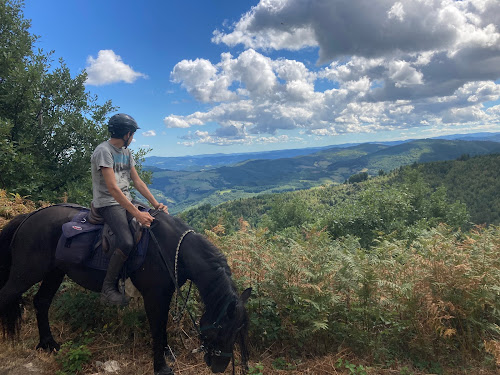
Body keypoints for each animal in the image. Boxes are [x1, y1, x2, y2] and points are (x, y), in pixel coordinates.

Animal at [0, 206, 250, 375]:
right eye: (221, 330)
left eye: (238, 331)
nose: (219, 367)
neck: (170, 248)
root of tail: (28, 217)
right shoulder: (154, 295)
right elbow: (157, 327)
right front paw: (161, 366)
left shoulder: (165, 294)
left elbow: (163, 326)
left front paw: (166, 352)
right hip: (26, 274)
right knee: (7, 296)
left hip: (54, 272)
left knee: (41, 302)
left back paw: (48, 344)